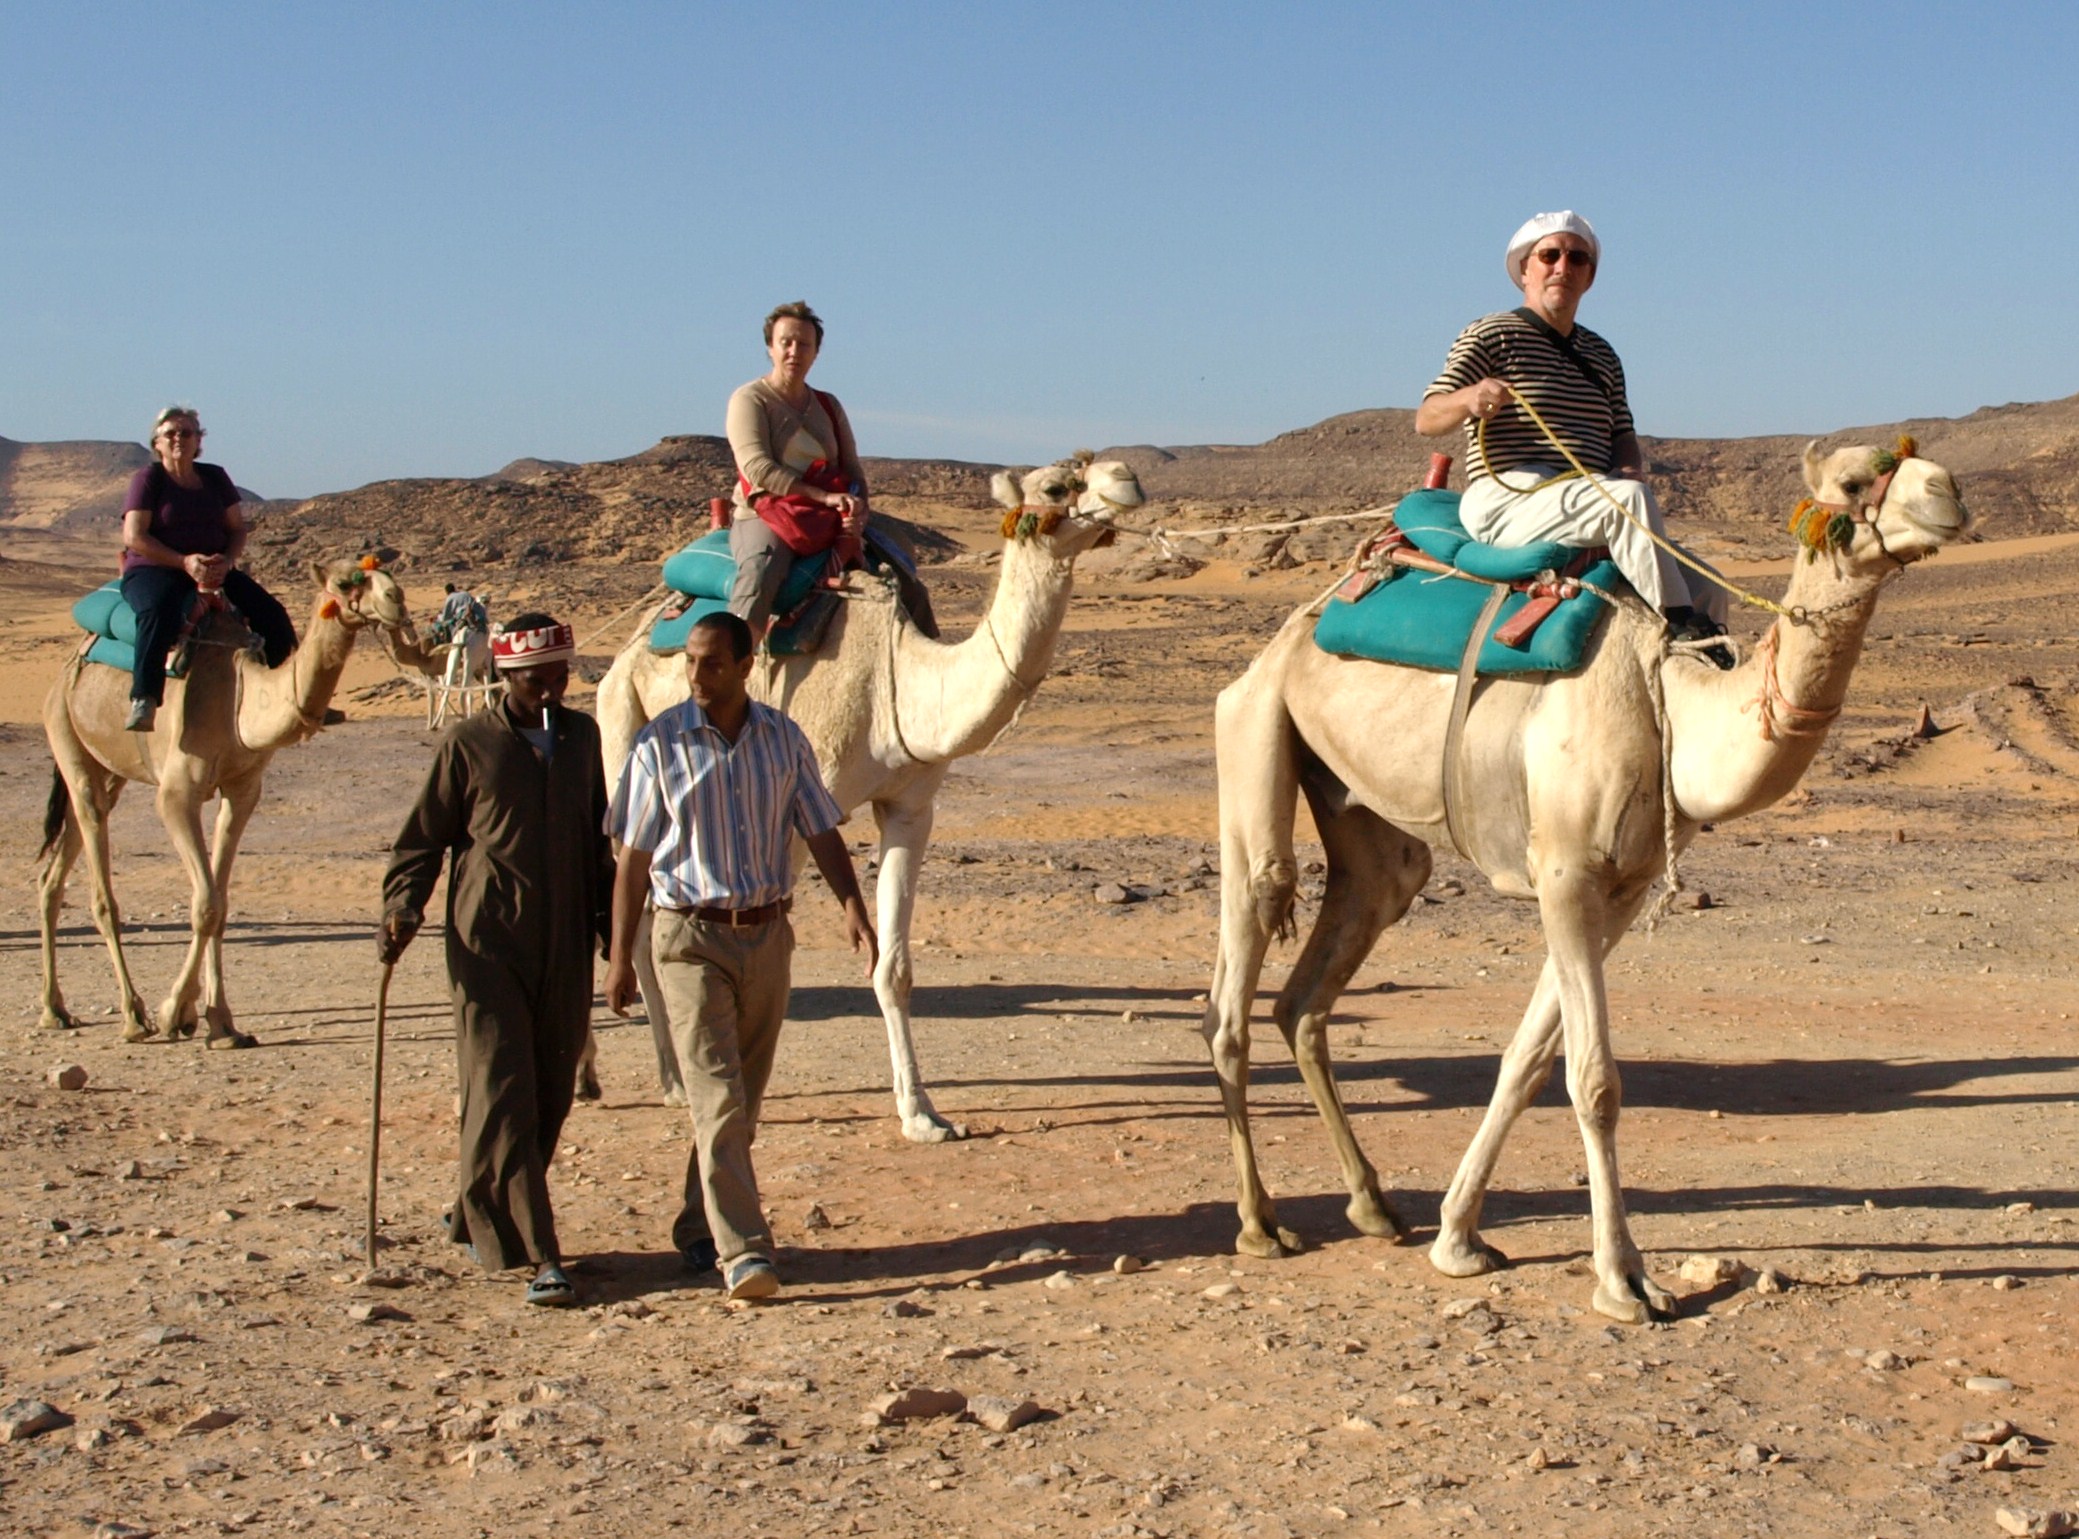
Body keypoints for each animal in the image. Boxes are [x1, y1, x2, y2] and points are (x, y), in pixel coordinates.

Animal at [39, 557, 422, 1052]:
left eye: (388, 575)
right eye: (344, 582)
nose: (397, 601)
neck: (238, 697)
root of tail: (68, 664)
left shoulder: (242, 791)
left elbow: (219, 906)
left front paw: (220, 1022)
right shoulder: (177, 795)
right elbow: (204, 904)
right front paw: (173, 1013)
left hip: (108, 768)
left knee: (55, 869)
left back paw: (55, 1010)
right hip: (65, 732)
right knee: (98, 867)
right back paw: (133, 1016)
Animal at [594, 457, 1147, 1139]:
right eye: (1053, 486)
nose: (1127, 477)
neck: (902, 685)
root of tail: (632, 641)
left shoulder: (910, 807)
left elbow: (894, 968)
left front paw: (922, 1114)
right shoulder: (794, 813)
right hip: (622, 730)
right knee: (638, 908)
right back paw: (672, 1081)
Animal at [1205, 440, 1962, 1322]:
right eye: (1850, 480)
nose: (1947, 493)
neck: (1670, 696)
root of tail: (1298, 623)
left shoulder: (1620, 887)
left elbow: (1527, 1061)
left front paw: (1456, 1237)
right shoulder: (1564, 871)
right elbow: (1593, 1078)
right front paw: (1623, 1278)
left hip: (1362, 815)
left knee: (1325, 967)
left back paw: (1372, 1204)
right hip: (1255, 722)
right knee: (1246, 947)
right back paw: (1259, 1222)